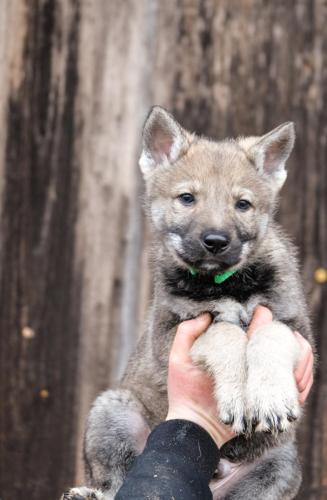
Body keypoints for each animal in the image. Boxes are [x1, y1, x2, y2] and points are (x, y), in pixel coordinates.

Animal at [64, 107, 316, 498]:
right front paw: (236, 392)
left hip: (280, 465)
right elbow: (224, 333)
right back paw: (89, 493)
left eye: (242, 204)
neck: (227, 284)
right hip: (114, 412)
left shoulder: (296, 328)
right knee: (114, 479)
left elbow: (269, 333)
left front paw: (270, 396)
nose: (215, 241)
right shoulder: (172, 332)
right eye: (186, 198)